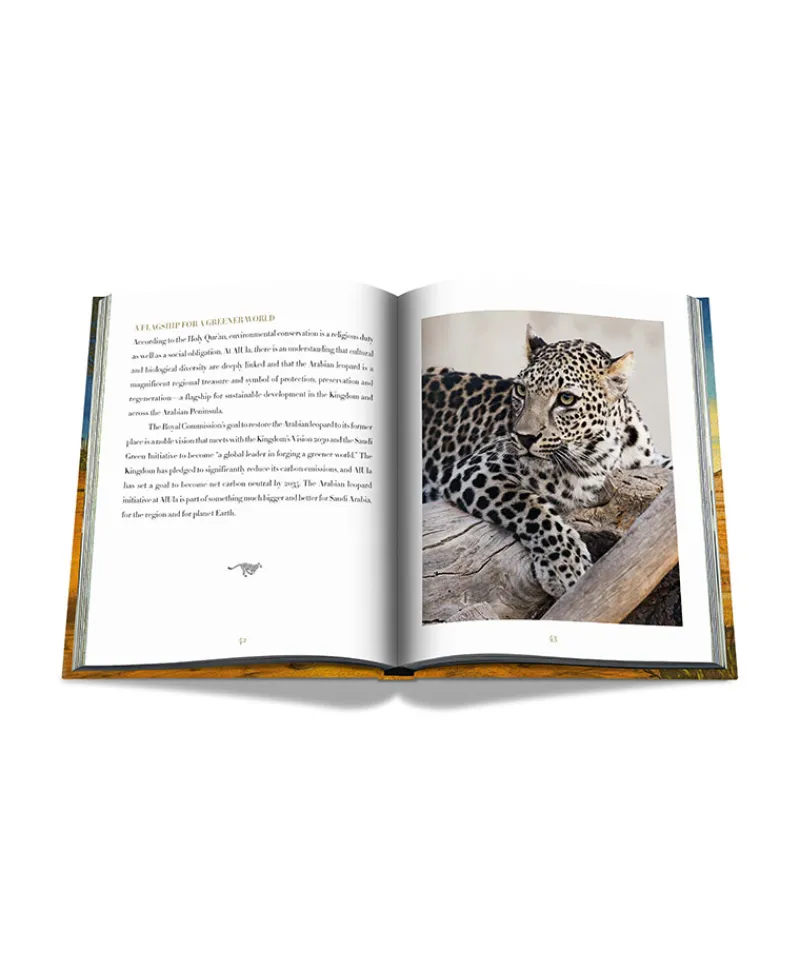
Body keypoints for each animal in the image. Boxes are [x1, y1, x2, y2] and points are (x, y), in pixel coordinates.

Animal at [422, 324, 671, 599]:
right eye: (521, 390)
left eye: (566, 399)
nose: (524, 437)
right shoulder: (476, 468)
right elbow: (531, 507)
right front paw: (567, 566)